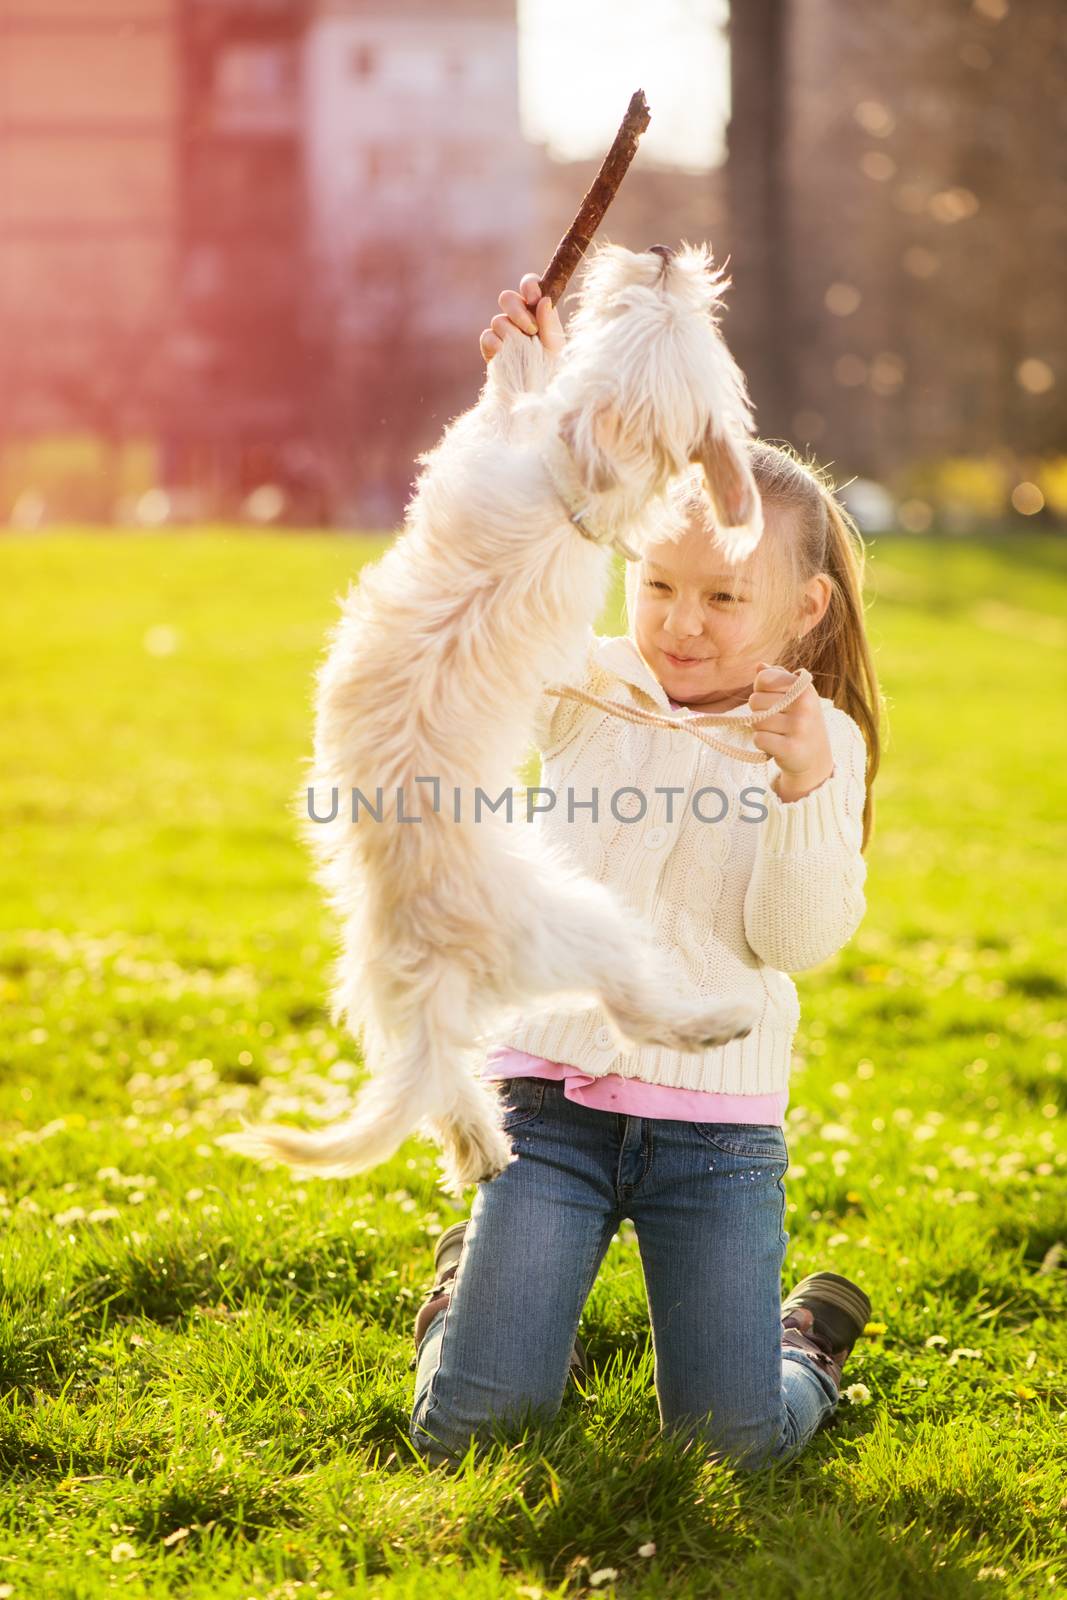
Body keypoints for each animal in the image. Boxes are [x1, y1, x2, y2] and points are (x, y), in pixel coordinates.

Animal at [220, 240, 764, 1203]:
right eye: (652, 306)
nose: (661, 251)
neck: (569, 483)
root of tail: (439, 952)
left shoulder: (491, 440)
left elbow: (507, 394)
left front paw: (524, 344)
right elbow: (513, 392)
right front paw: (524, 323)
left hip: (560, 932)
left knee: (614, 1018)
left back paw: (701, 1031)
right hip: (426, 985)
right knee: (453, 1072)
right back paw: (489, 1144)